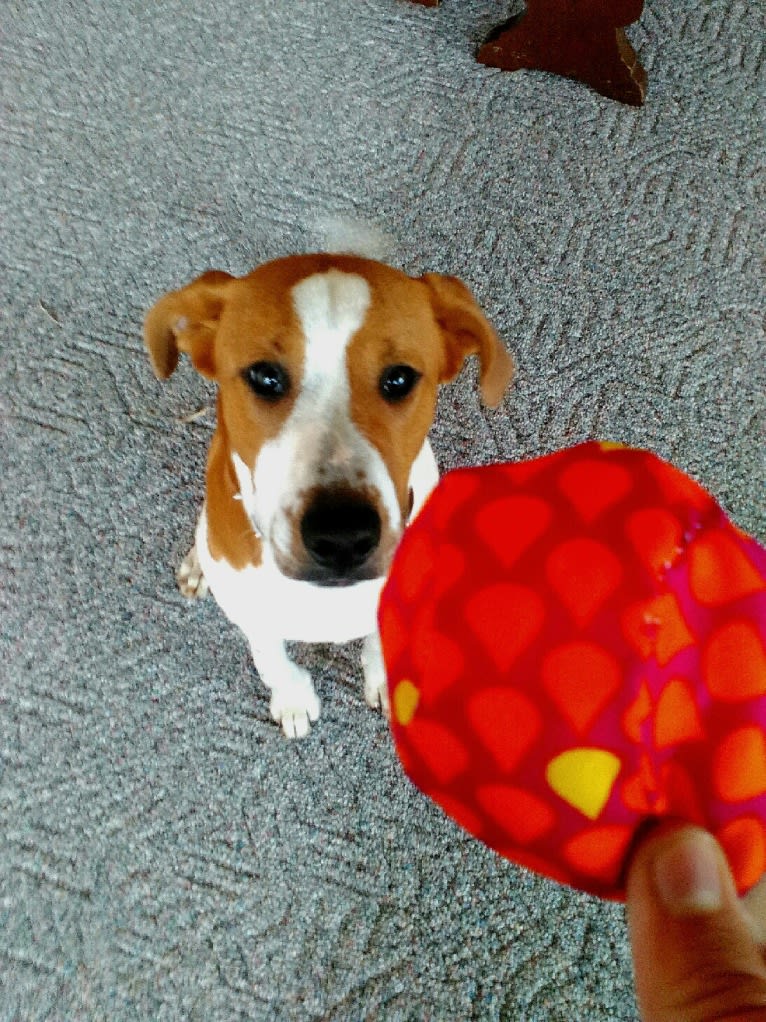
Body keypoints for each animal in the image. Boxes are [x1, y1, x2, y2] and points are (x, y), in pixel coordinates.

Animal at [145, 252, 516, 739]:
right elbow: (272, 661)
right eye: (265, 377)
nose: (343, 537)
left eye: (399, 379)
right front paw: (293, 700)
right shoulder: (256, 617)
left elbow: (379, 644)